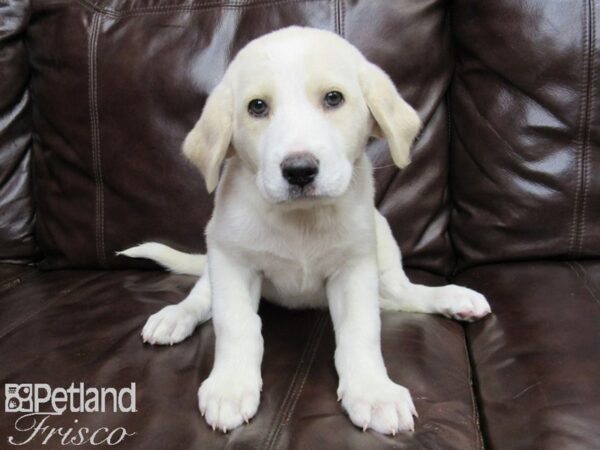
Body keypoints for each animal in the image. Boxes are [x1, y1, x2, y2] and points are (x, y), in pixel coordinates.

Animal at [119, 27, 490, 436]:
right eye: (257, 107)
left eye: (334, 98)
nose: (299, 171)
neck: (301, 220)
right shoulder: (233, 261)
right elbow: (236, 324)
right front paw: (231, 386)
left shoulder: (354, 269)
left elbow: (361, 331)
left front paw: (373, 392)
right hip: (215, 255)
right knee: (201, 297)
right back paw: (174, 317)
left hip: (382, 246)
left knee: (403, 293)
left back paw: (452, 298)